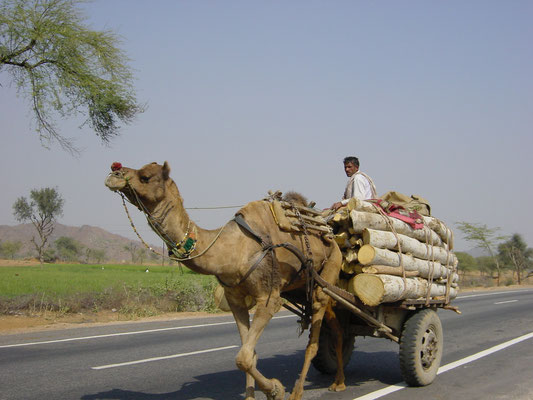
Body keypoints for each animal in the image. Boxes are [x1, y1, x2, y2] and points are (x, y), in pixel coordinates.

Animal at [105, 161, 344, 398]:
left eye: (145, 176)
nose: (114, 173)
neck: (232, 249)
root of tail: (330, 233)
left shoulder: (269, 298)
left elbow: (243, 357)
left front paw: (276, 389)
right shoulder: (235, 299)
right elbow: (249, 354)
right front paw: (255, 394)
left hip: (331, 265)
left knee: (314, 337)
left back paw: (300, 390)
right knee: (335, 325)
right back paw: (338, 382)